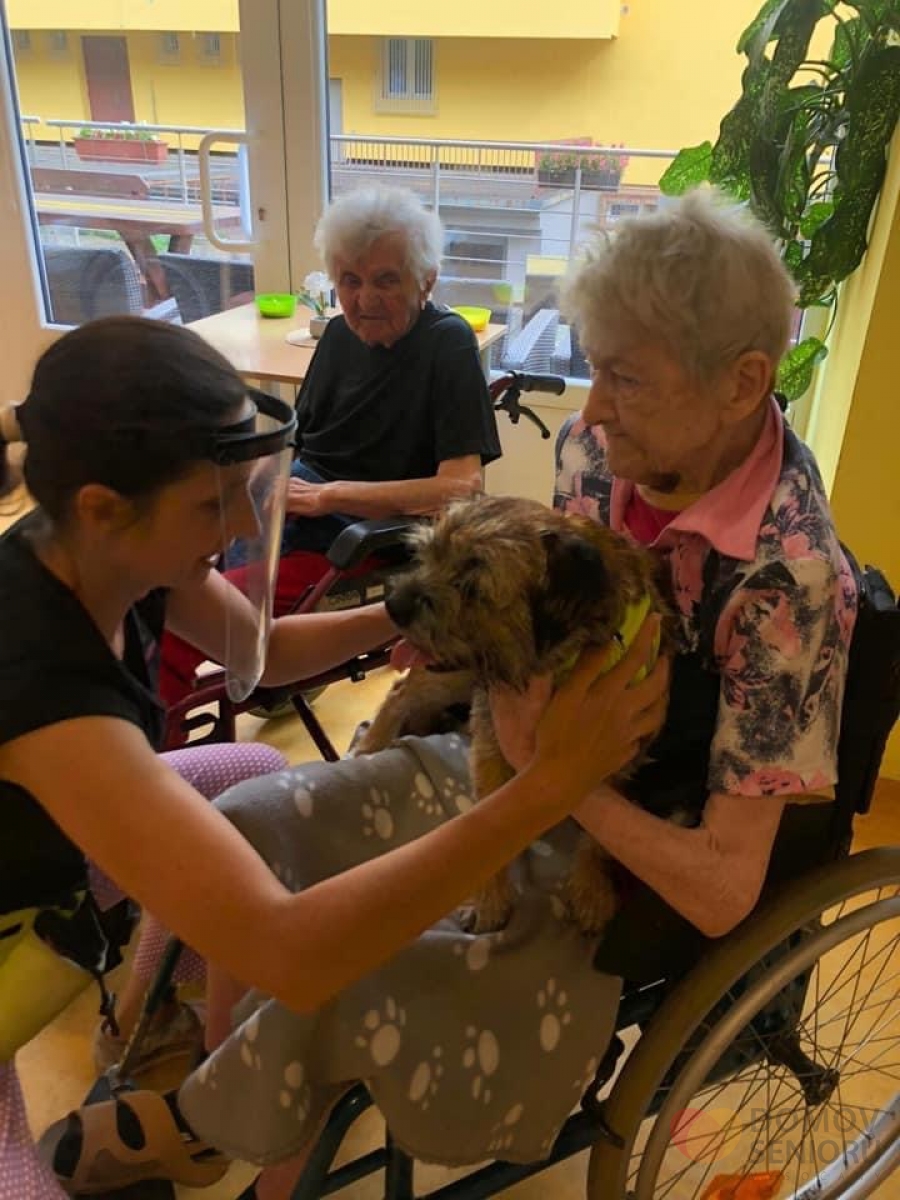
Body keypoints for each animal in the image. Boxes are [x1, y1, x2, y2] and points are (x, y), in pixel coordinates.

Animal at [354, 495, 670, 936]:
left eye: (473, 583)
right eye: (429, 554)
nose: (392, 605)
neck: (558, 662)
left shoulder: (623, 752)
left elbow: (598, 839)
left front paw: (591, 890)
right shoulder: (491, 739)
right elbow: (484, 826)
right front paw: (490, 902)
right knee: (404, 689)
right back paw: (372, 743)